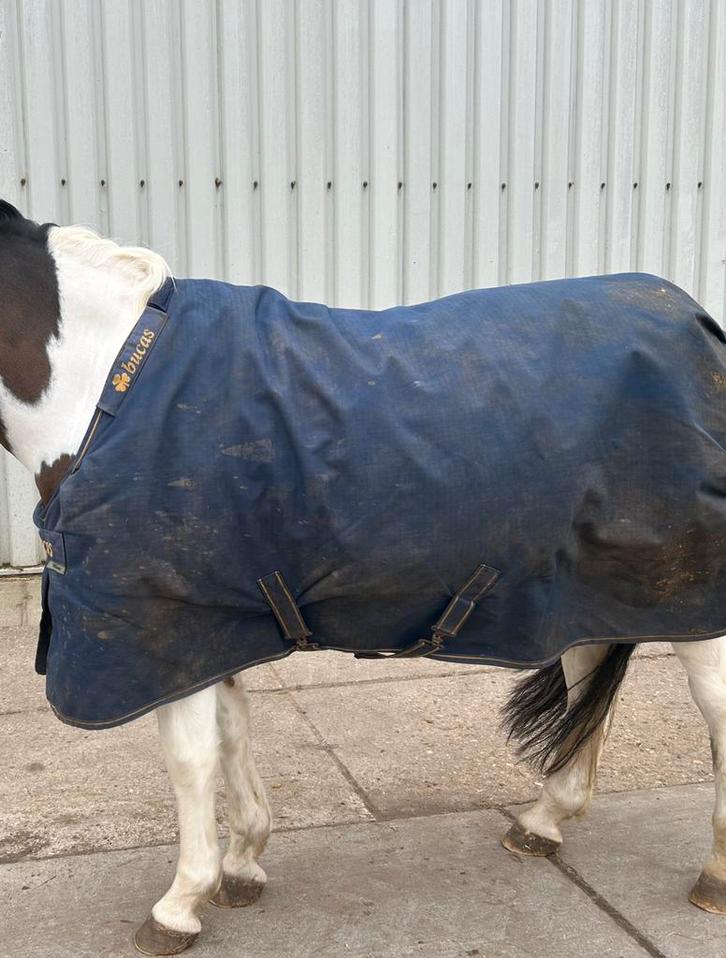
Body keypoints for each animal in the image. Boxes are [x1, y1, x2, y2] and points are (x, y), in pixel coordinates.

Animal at [3, 199, 726, 957]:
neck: (106, 378)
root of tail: (696, 322)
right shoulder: (212, 626)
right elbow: (232, 737)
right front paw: (242, 863)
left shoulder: (165, 629)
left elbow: (189, 762)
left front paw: (180, 903)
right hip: (589, 595)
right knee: (589, 691)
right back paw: (542, 822)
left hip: (696, 603)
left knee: (717, 715)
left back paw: (713, 876)